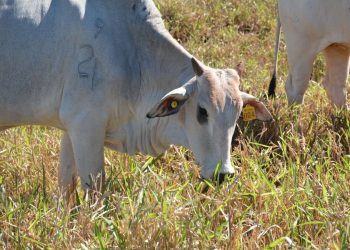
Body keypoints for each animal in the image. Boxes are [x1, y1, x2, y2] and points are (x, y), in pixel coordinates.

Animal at [0, 0, 272, 191]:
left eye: (237, 115)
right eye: (202, 111)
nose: (223, 174)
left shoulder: (72, 128)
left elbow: (66, 187)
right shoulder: (86, 126)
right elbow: (95, 192)